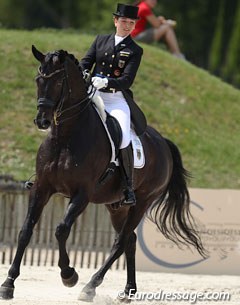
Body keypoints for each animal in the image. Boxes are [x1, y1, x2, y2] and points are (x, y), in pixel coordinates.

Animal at [0, 46, 205, 300]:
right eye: (38, 80)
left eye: (58, 82)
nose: (42, 121)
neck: (65, 137)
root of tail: (164, 144)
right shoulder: (42, 188)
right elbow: (25, 230)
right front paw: (8, 284)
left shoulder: (82, 194)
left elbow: (61, 230)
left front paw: (69, 275)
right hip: (116, 206)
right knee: (130, 240)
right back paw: (127, 291)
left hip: (142, 201)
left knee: (121, 241)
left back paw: (90, 286)